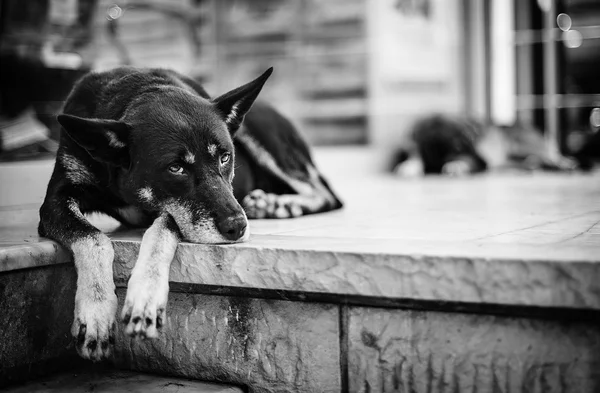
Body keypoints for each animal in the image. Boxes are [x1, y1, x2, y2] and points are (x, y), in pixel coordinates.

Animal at [38, 66, 342, 360]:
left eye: (225, 157)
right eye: (176, 168)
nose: (237, 226)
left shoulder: (172, 211)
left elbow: (160, 232)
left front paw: (145, 296)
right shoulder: (54, 201)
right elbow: (94, 240)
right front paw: (96, 312)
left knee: (327, 195)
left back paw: (280, 204)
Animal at [392, 112, 580, 175]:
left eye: (458, 149)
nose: (434, 167)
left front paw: (456, 165)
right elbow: (415, 157)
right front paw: (410, 165)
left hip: (521, 145)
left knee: (553, 157)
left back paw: (564, 165)